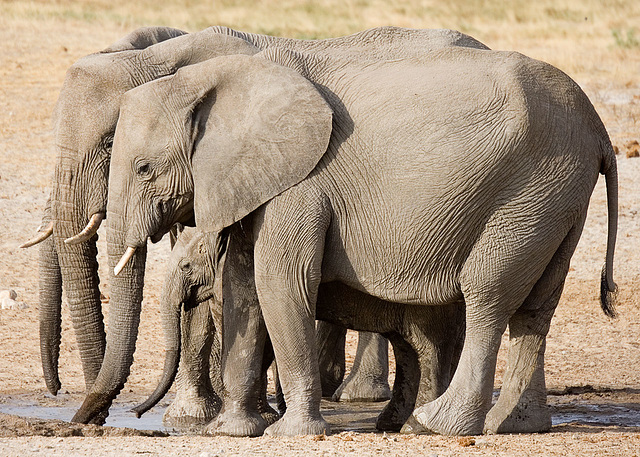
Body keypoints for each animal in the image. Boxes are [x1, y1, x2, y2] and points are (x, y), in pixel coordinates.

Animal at [70, 43, 616, 434]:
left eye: (144, 168)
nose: (88, 424)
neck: (213, 80)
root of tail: (599, 130)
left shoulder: (302, 183)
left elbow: (279, 281)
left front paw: (288, 434)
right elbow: (245, 283)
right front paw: (229, 433)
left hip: (529, 191)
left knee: (489, 295)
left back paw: (437, 425)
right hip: (557, 198)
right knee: (536, 307)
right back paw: (515, 426)